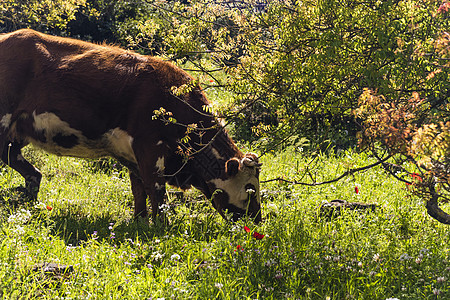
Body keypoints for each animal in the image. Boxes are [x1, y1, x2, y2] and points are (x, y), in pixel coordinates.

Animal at [0, 29, 262, 224]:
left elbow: (139, 188)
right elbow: (156, 190)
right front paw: (161, 224)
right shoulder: (149, 146)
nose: (258, 220)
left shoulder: (131, 153)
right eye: (250, 189)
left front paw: (140, 219)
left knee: (17, 160)